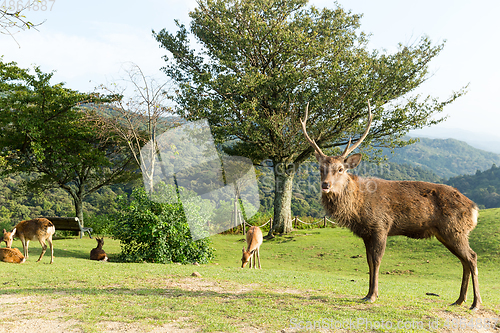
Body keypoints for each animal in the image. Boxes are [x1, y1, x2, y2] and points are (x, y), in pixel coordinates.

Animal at [298, 100, 482, 308]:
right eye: (320, 168)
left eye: (340, 169)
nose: (325, 185)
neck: (358, 207)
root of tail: (474, 209)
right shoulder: (366, 233)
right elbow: (369, 262)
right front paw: (366, 294)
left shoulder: (381, 226)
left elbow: (377, 260)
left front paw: (373, 295)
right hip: (447, 233)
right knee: (464, 260)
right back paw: (459, 300)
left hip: (455, 229)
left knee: (472, 257)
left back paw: (475, 303)